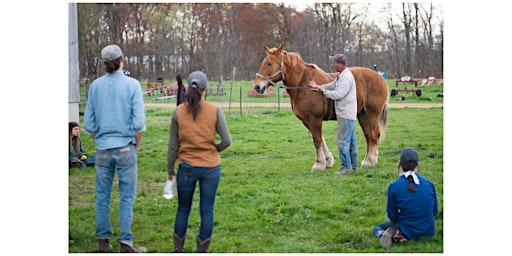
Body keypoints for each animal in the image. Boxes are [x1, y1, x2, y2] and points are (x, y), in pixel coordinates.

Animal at [252, 44, 388, 171]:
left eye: (269, 63)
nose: (257, 86)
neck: (303, 84)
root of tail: (380, 77)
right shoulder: (307, 121)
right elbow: (321, 140)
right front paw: (327, 161)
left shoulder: (314, 119)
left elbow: (317, 140)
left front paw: (319, 164)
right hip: (362, 114)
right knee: (368, 135)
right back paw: (367, 159)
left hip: (372, 113)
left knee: (374, 134)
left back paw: (370, 160)